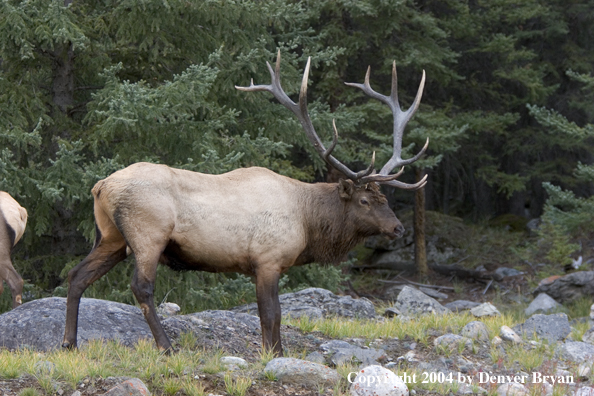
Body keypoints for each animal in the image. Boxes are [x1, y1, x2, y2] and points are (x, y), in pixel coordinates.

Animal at [61, 51, 426, 354]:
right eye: (365, 200)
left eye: (384, 198)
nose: (397, 228)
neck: (308, 223)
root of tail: (100, 185)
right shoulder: (268, 260)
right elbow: (271, 314)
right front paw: (273, 354)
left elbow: (271, 315)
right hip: (147, 234)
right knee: (141, 287)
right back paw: (166, 347)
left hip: (111, 236)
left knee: (77, 275)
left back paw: (68, 343)